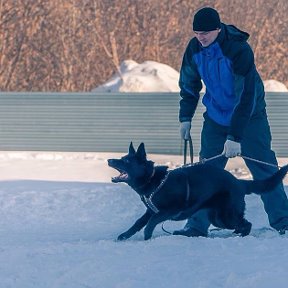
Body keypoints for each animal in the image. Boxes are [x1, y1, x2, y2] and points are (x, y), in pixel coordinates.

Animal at [108, 142, 288, 241]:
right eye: (122, 158)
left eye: (126, 161)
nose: (109, 159)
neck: (154, 181)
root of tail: (238, 182)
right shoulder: (151, 211)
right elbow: (138, 223)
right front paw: (124, 236)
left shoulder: (168, 211)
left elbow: (150, 224)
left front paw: (147, 237)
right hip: (218, 218)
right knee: (242, 222)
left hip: (226, 216)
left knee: (246, 223)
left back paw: (242, 235)